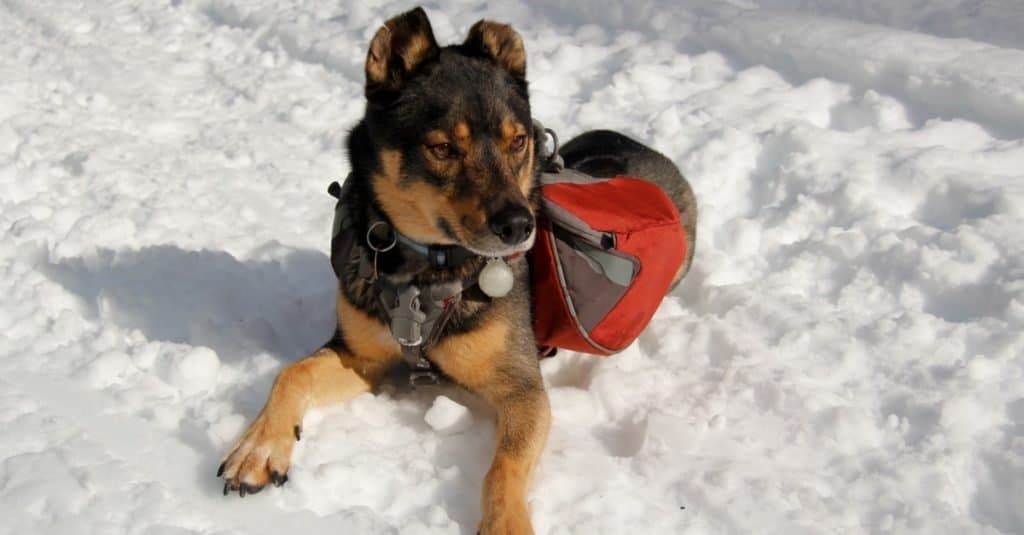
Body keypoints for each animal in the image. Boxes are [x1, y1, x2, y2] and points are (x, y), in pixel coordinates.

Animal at [216, 5, 696, 532]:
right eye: (443, 148)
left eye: (519, 141)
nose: (519, 225)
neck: (424, 272)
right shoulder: (361, 355)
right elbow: (291, 373)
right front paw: (258, 448)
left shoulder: (523, 390)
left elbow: (503, 466)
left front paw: (506, 523)